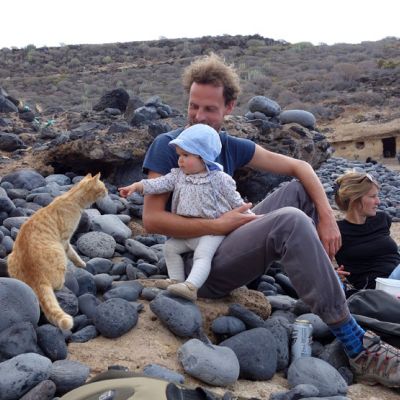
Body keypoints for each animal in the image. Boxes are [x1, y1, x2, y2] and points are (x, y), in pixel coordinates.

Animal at [7, 172, 107, 330]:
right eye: (103, 187)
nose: (108, 191)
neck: (72, 198)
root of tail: (36, 277)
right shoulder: (65, 240)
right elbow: (73, 254)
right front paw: (81, 264)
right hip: (58, 252)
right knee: (58, 284)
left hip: (10, 259)